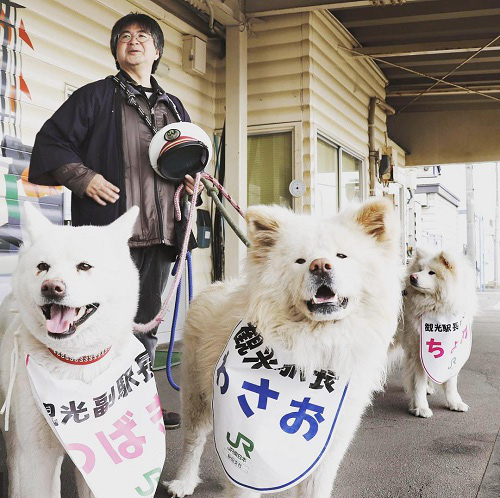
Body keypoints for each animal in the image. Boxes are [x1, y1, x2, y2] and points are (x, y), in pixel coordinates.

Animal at [167, 198, 402, 498]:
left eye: (341, 256)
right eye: (300, 261)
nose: (320, 265)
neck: (311, 347)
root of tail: (215, 285)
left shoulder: (327, 443)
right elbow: (242, 484)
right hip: (196, 394)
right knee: (193, 441)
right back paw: (183, 482)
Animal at [398, 247, 476, 418]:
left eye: (431, 273)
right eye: (419, 269)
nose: (412, 276)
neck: (436, 307)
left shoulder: (451, 351)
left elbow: (451, 383)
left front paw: (454, 403)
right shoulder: (418, 352)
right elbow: (418, 384)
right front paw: (420, 407)